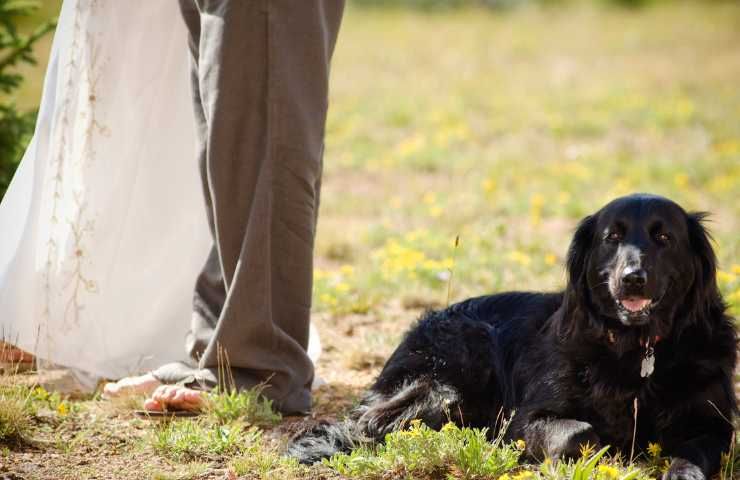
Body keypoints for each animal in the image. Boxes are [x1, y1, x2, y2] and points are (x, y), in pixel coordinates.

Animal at [288, 193, 736, 478]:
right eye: (612, 237)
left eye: (664, 238)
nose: (632, 279)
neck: (637, 350)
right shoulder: (528, 418)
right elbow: (580, 432)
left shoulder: (713, 424)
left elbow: (694, 452)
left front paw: (681, 472)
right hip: (450, 381)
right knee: (370, 424)